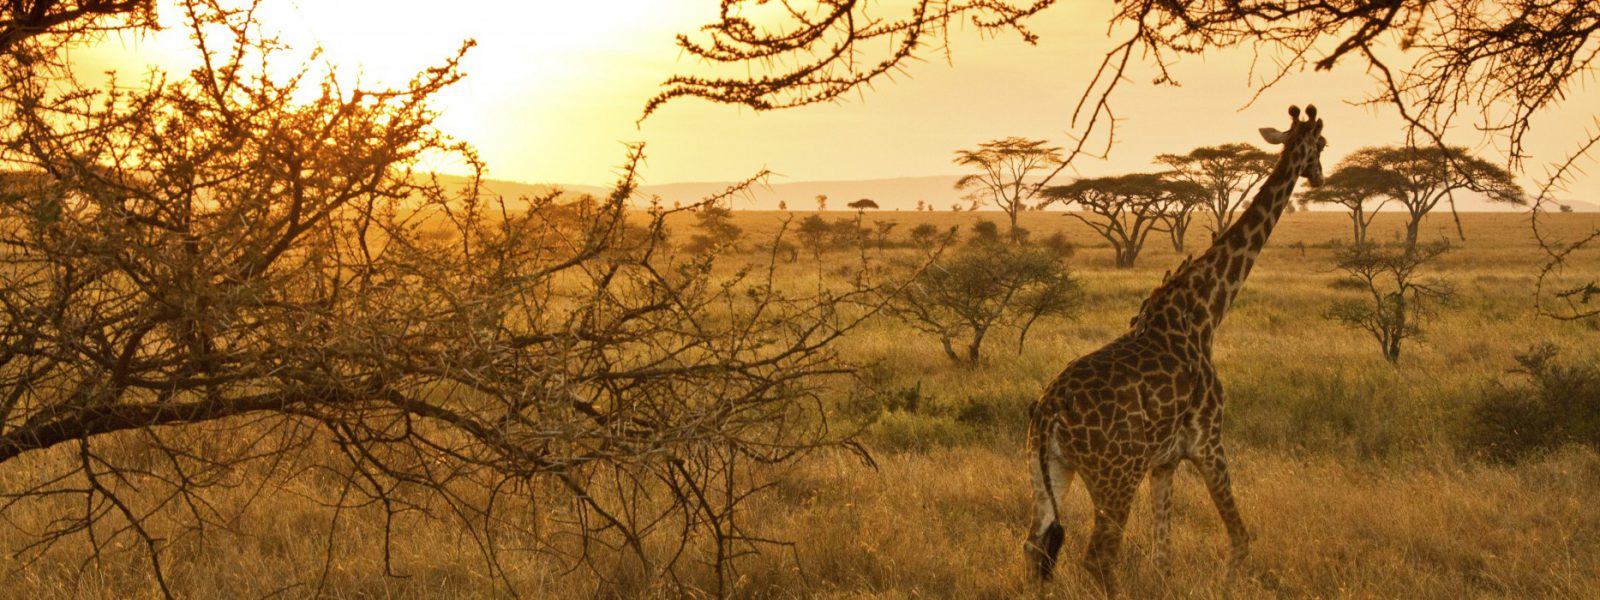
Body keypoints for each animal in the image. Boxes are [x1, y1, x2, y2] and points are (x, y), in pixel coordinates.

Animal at [1023, 105, 1327, 594]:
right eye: (1321, 144)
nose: (1319, 177)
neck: (1204, 312)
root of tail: (1049, 409)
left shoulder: (1163, 463)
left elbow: (1162, 555)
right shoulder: (1208, 441)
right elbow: (1240, 538)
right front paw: (1228, 588)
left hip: (1048, 467)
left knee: (1035, 544)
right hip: (1114, 476)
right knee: (1098, 554)